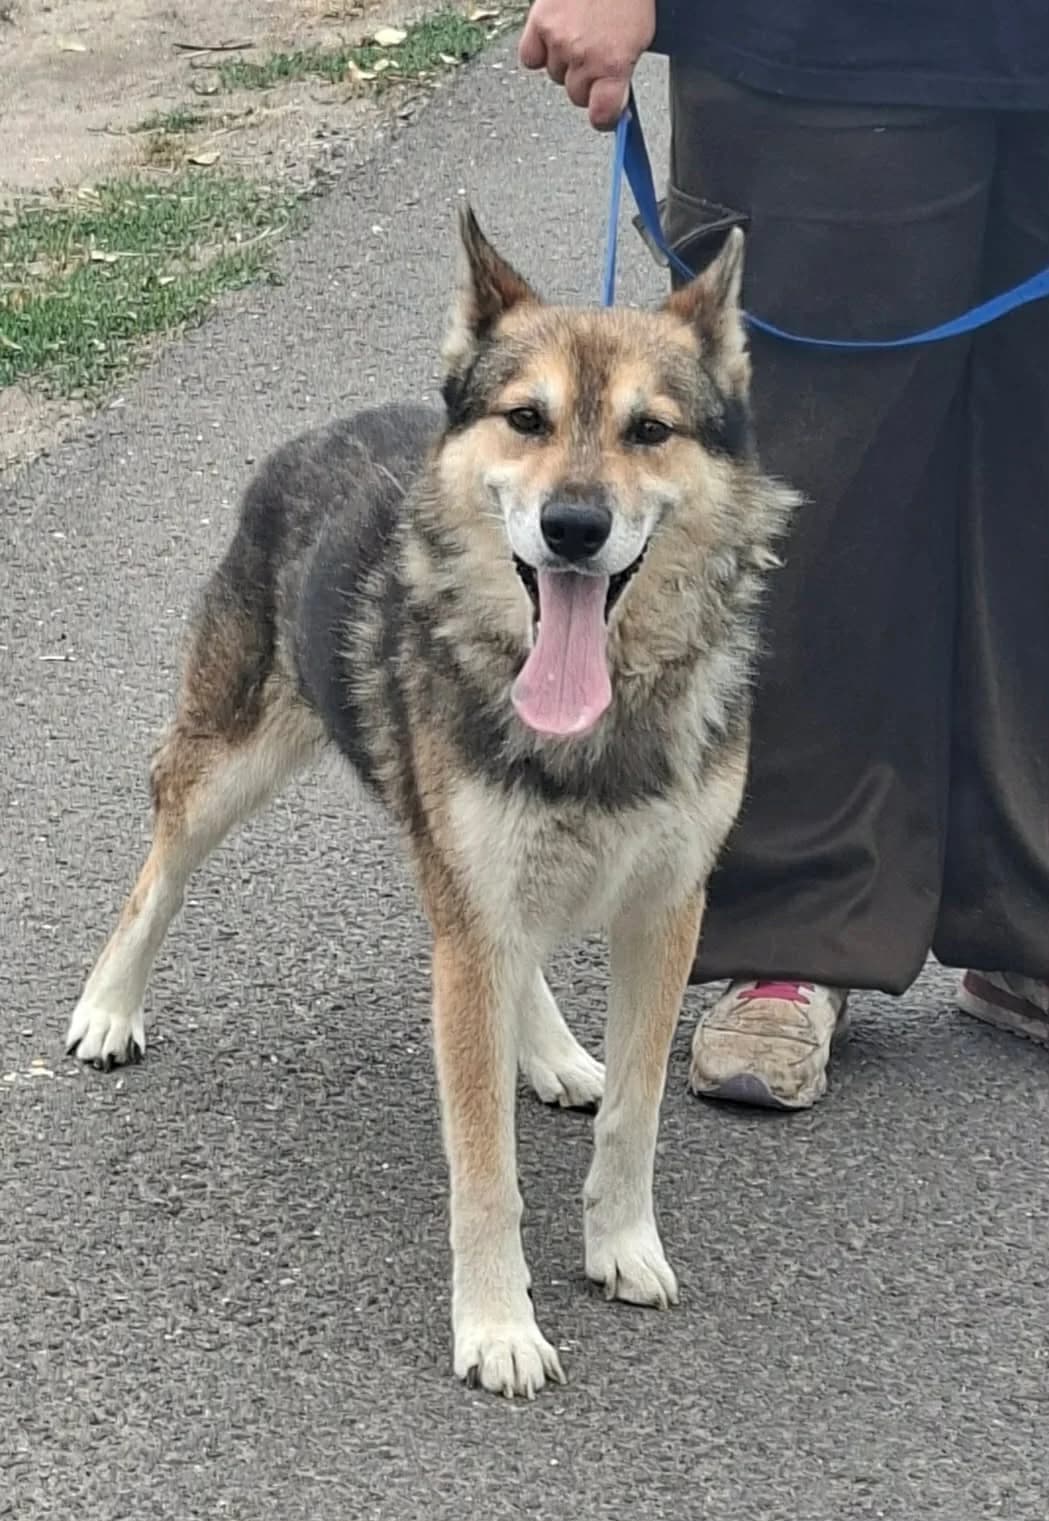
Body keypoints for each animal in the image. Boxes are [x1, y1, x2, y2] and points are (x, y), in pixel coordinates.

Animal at [65, 209, 797, 1398]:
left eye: (649, 430)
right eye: (526, 418)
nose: (574, 525)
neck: (593, 716)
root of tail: (321, 431)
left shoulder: (663, 911)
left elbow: (635, 1114)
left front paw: (619, 1243)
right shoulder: (471, 916)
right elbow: (483, 1165)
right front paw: (496, 1325)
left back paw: (549, 1050)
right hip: (238, 760)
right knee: (162, 857)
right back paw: (110, 1004)